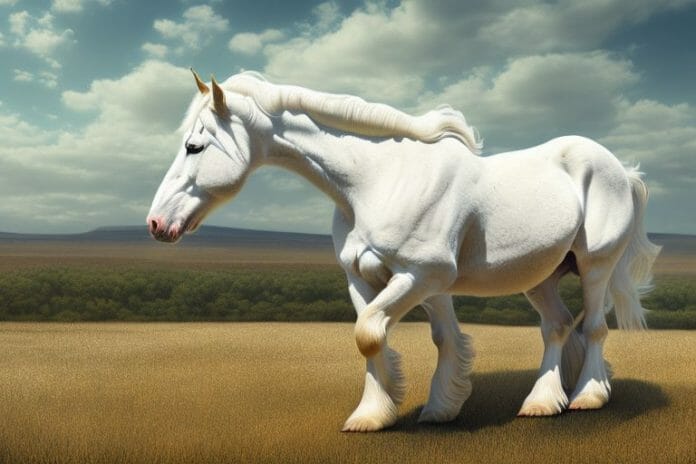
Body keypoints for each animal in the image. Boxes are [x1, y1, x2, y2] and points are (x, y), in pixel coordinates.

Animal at [147, 70, 661, 432]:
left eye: (195, 146)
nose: (156, 224)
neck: (376, 181)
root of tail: (620, 168)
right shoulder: (370, 279)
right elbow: (410, 337)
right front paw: (406, 411)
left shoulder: (422, 275)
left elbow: (372, 334)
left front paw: (391, 412)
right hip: (540, 276)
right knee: (556, 328)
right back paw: (540, 404)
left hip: (595, 266)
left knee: (593, 328)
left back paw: (588, 396)